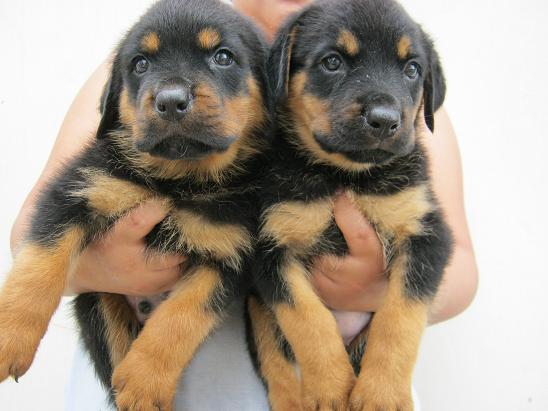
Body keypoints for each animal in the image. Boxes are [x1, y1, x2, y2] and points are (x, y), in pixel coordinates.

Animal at [246, 0, 453, 410]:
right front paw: (330, 388)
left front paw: (381, 394)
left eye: (412, 69)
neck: (344, 176)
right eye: (332, 62)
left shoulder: (425, 233)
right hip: (255, 307)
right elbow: (307, 319)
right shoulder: (272, 248)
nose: (384, 120)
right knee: (275, 361)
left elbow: (399, 319)